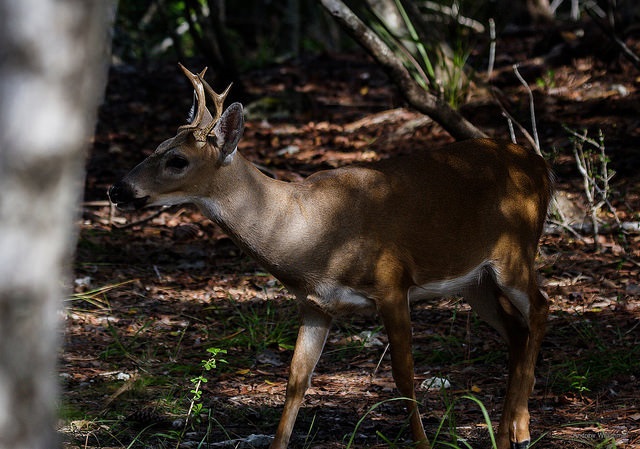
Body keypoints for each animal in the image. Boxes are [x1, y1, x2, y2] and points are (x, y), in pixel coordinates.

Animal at [108, 64, 551, 449]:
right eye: (156, 147)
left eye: (177, 160)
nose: (117, 189)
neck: (308, 232)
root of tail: (540, 165)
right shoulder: (315, 304)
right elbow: (296, 380)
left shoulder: (393, 282)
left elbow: (404, 375)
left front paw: (423, 443)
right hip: (475, 280)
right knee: (517, 329)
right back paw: (505, 434)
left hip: (515, 250)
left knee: (541, 307)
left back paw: (522, 429)